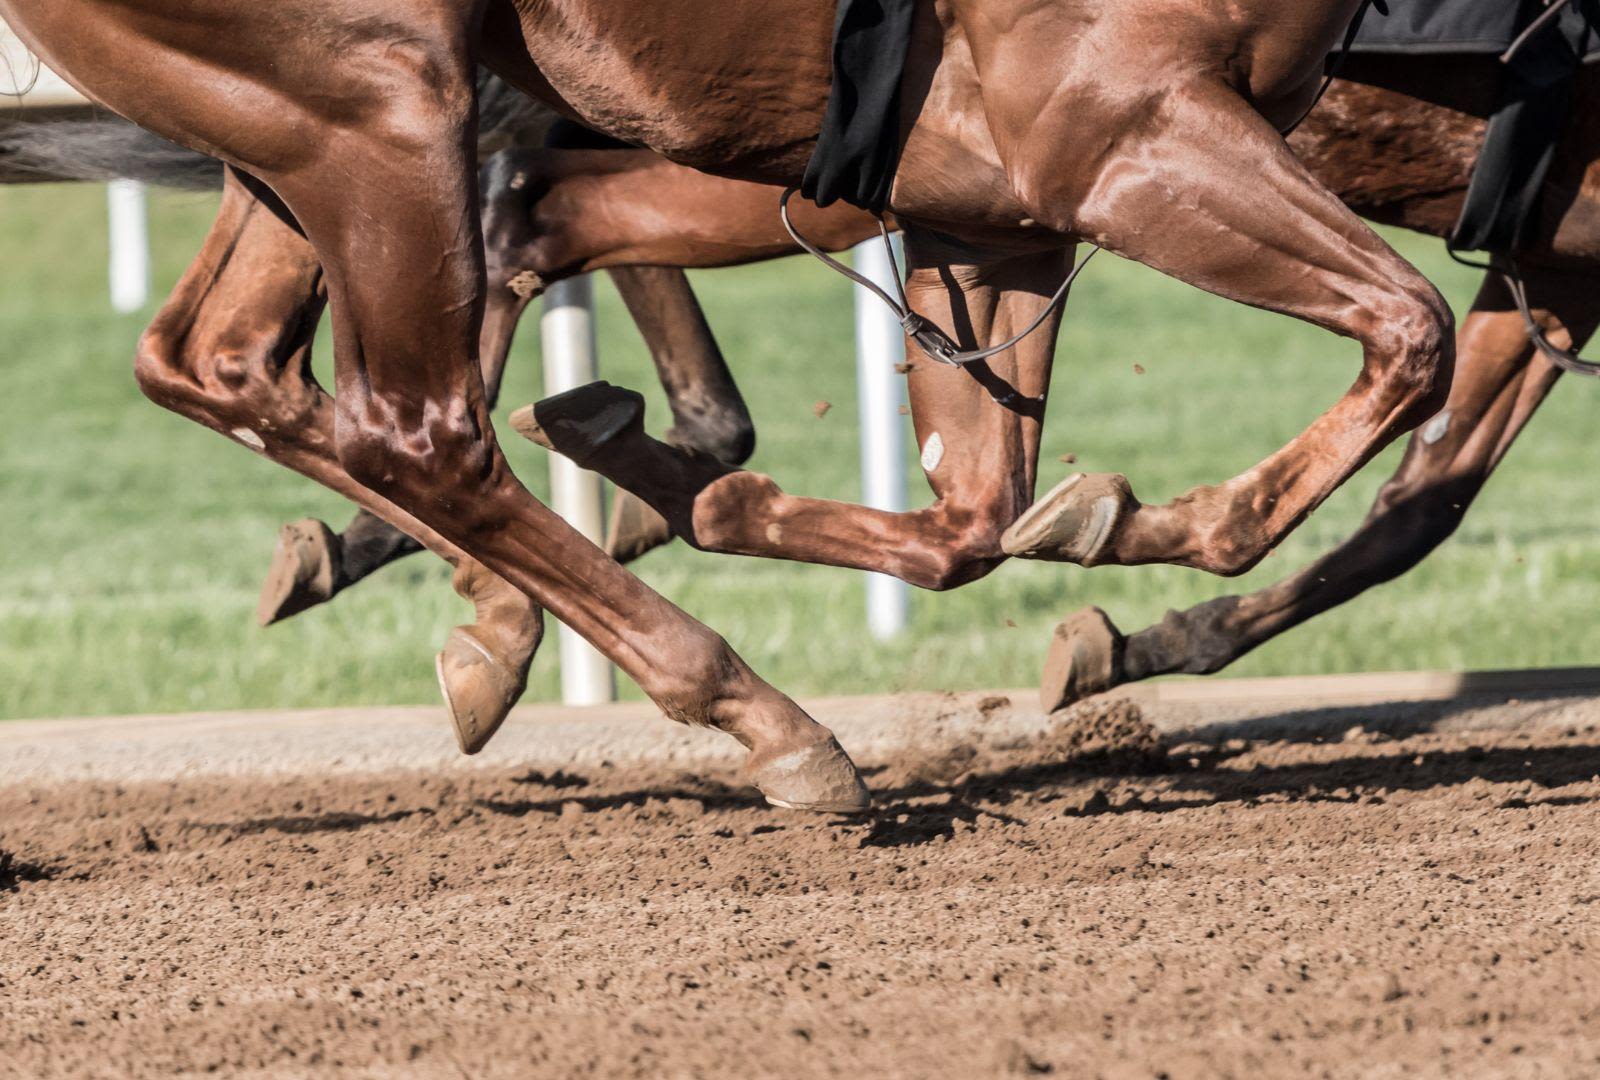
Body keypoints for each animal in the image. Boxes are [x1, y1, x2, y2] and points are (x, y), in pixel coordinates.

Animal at [0, 0, 1452, 812]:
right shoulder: (1121, 126)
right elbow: (1413, 331)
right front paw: (1171, 524)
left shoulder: (994, 204)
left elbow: (975, 512)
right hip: (376, 96)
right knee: (414, 425)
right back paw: (763, 718)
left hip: (302, 128)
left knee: (220, 360)